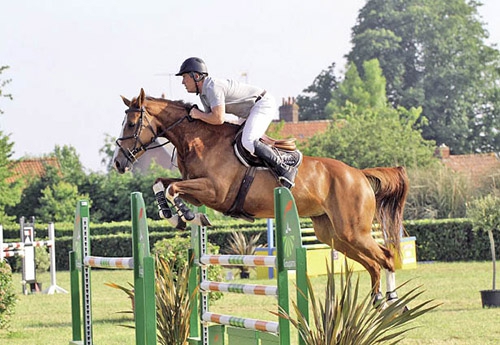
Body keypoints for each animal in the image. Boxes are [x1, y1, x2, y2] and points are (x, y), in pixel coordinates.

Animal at [113, 88, 410, 304]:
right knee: (372, 264)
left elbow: (173, 188)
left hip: (353, 230)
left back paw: (392, 301)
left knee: (384, 257)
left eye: (131, 123)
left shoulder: (214, 191)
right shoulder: (198, 189)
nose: (118, 163)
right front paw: (174, 215)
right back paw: (377, 301)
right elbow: (161, 184)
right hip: (334, 234)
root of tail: (359, 174)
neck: (199, 140)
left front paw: (186, 216)